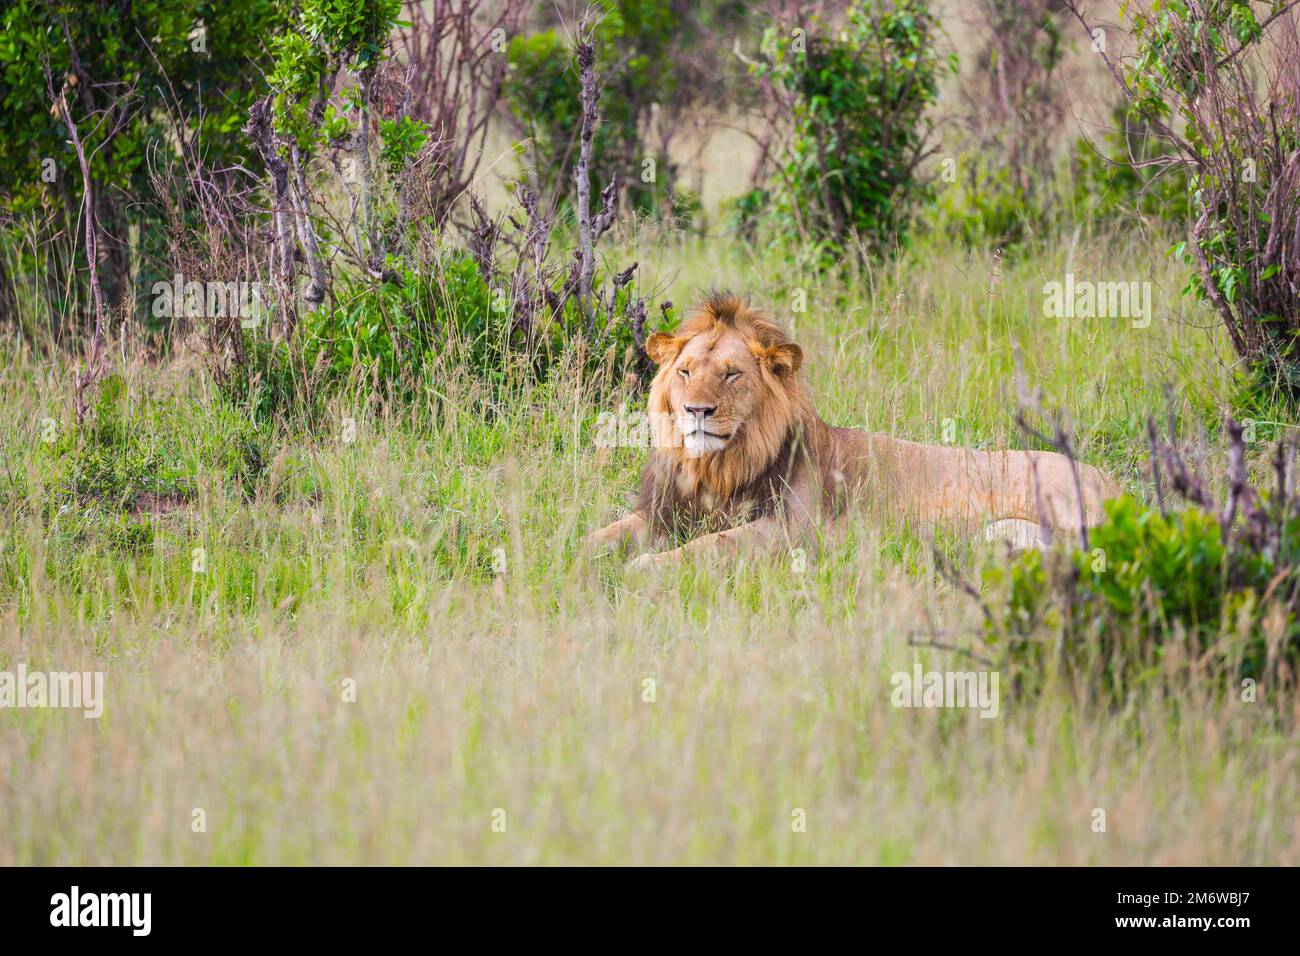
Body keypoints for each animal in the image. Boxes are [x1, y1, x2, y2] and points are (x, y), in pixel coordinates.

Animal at [592, 293, 1118, 567]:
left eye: (731, 374)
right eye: (685, 372)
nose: (696, 410)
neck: (715, 467)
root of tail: (1118, 487)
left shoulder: (792, 532)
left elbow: (708, 547)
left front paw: (644, 569)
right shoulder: (662, 513)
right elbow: (602, 535)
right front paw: (580, 561)